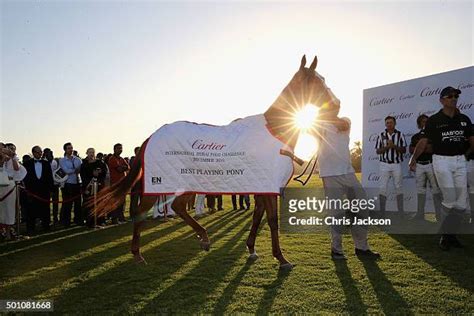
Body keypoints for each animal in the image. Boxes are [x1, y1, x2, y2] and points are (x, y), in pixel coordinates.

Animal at [90, 54, 340, 270]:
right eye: (313, 81)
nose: (336, 104)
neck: (274, 132)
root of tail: (151, 136)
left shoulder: (260, 188)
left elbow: (257, 217)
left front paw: (251, 249)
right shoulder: (269, 189)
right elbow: (272, 220)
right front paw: (281, 259)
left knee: (178, 207)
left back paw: (203, 238)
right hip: (159, 183)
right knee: (143, 211)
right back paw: (138, 255)